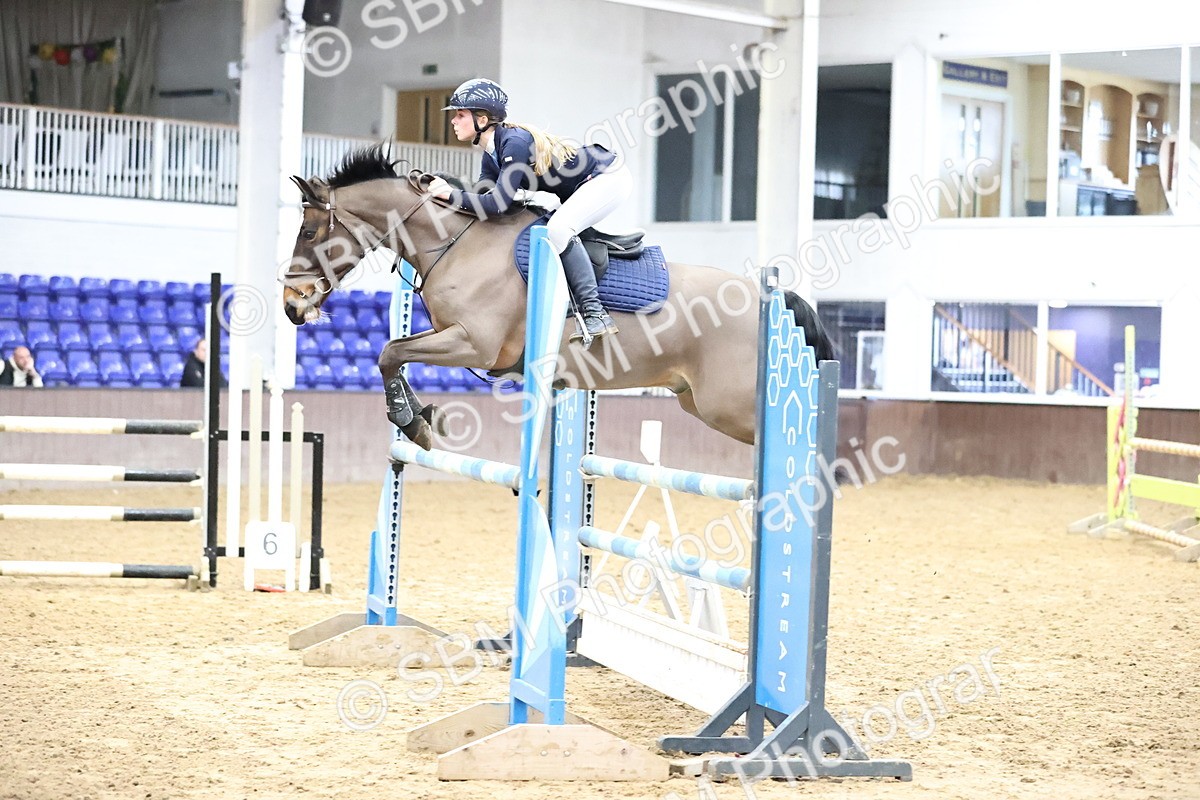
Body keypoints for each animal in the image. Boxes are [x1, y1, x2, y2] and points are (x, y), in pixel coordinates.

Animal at [282, 144, 833, 451]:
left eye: (308, 232)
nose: (291, 304)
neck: (457, 244)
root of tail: (771, 298)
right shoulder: (448, 335)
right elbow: (394, 354)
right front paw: (419, 419)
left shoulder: (476, 344)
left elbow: (388, 351)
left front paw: (410, 422)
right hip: (697, 401)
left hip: (731, 406)